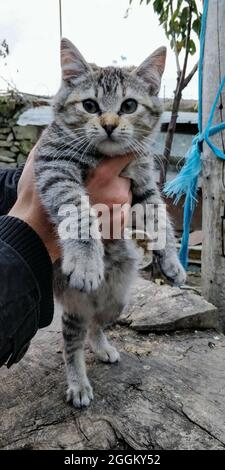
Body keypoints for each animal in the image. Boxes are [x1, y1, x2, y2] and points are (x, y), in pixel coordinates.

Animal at [35, 38, 186, 408]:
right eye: (89, 105)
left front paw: (172, 263)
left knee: (96, 325)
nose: (108, 124)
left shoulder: (143, 184)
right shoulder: (55, 166)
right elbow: (77, 211)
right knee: (72, 341)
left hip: (117, 301)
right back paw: (78, 384)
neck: (105, 156)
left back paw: (103, 347)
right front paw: (86, 261)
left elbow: (160, 218)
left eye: (129, 105)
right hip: (75, 305)